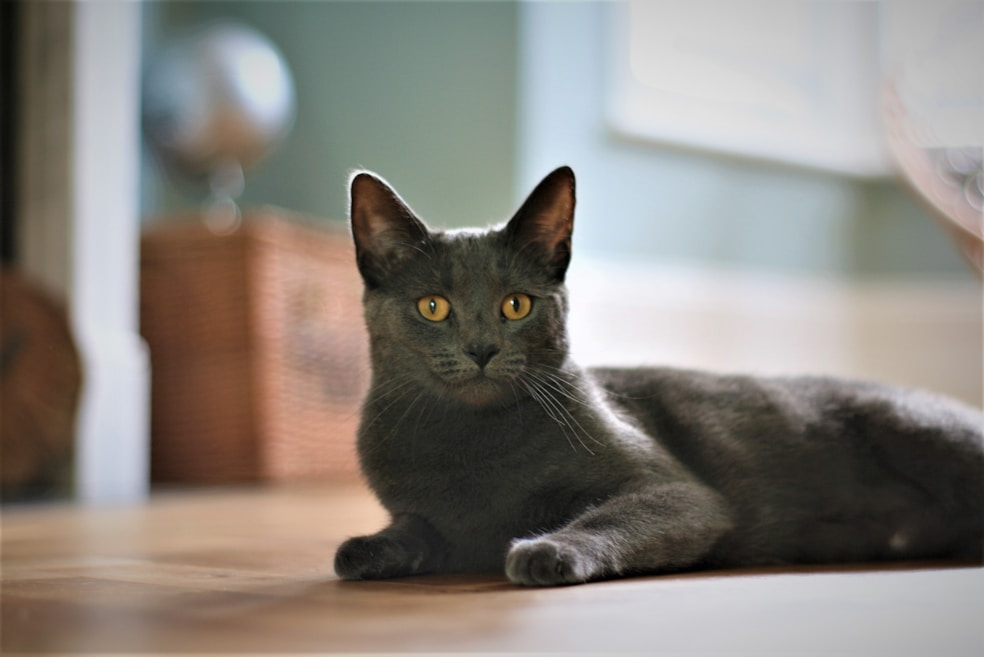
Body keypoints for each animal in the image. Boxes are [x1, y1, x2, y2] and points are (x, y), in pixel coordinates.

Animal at [332, 164, 984, 584]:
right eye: (432, 306)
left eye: (516, 305)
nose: (482, 348)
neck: (471, 444)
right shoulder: (429, 517)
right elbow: (416, 531)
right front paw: (364, 550)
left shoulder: (680, 494)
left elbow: (617, 515)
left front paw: (546, 549)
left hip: (922, 429)